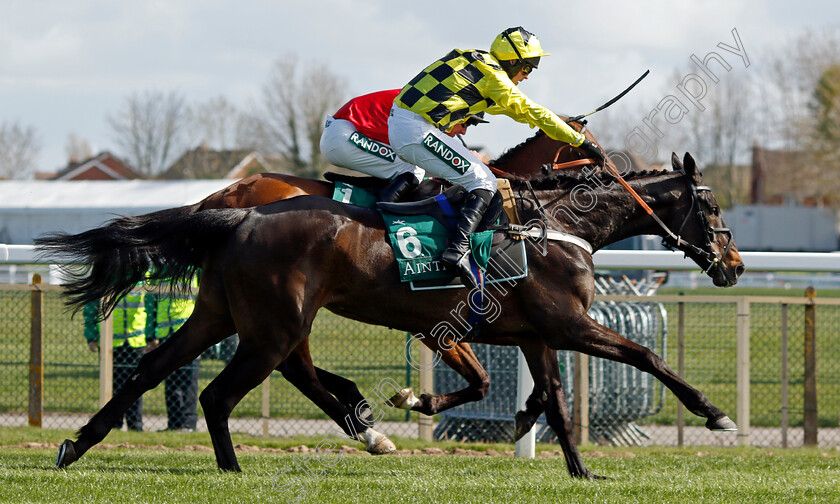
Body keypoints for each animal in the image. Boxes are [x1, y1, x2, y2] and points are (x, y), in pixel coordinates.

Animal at [42, 152, 744, 478]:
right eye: (711, 208)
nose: (733, 264)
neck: (556, 225)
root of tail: (239, 212)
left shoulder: (535, 334)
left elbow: (551, 399)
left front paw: (577, 467)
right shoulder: (564, 327)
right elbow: (646, 356)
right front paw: (714, 414)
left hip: (217, 314)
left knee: (149, 368)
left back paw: (77, 444)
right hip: (274, 328)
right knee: (222, 393)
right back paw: (238, 465)